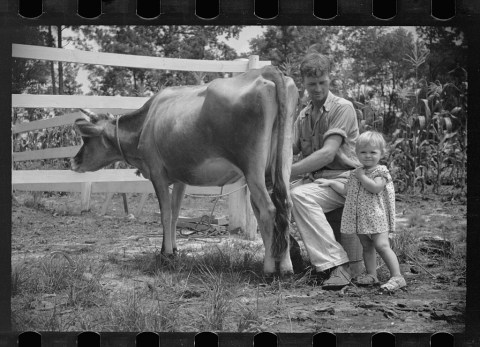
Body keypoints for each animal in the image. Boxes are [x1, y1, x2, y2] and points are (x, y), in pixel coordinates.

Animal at [71, 66, 298, 278]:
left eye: (86, 139)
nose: (74, 161)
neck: (147, 122)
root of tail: (264, 71)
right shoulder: (181, 178)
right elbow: (175, 213)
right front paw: (173, 250)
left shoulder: (157, 173)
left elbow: (165, 214)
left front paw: (165, 254)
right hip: (283, 160)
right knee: (284, 205)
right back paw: (286, 266)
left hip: (252, 168)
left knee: (268, 209)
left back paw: (269, 268)